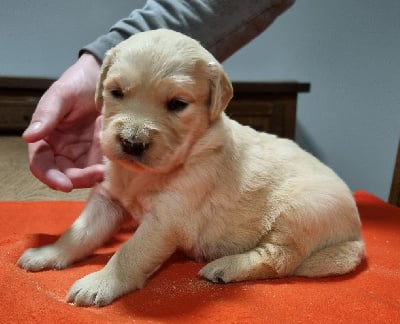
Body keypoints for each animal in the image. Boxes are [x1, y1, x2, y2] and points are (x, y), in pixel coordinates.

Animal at [17, 28, 364, 306]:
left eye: (177, 104)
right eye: (116, 92)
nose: (131, 142)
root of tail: (356, 236)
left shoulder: (167, 219)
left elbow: (129, 252)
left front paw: (100, 283)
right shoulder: (107, 198)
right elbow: (80, 232)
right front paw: (48, 253)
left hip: (299, 211)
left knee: (279, 259)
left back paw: (224, 267)